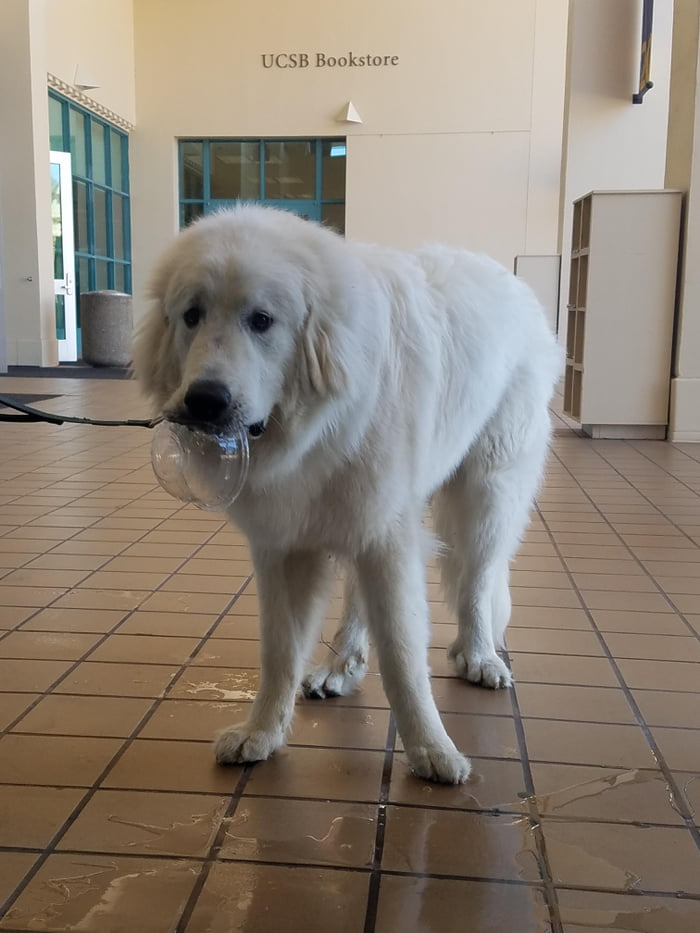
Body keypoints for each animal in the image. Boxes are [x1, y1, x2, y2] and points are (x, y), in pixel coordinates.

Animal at [133, 208, 564, 784]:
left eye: (261, 320)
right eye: (192, 316)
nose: (205, 400)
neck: (315, 428)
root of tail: (510, 281)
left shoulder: (388, 538)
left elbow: (403, 656)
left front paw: (432, 749)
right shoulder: (287, 548)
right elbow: (279, 651)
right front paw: (261, 733)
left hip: (486, 495)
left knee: (477, 579)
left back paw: (478, 657)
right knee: (361, 599)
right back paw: (341, 668)